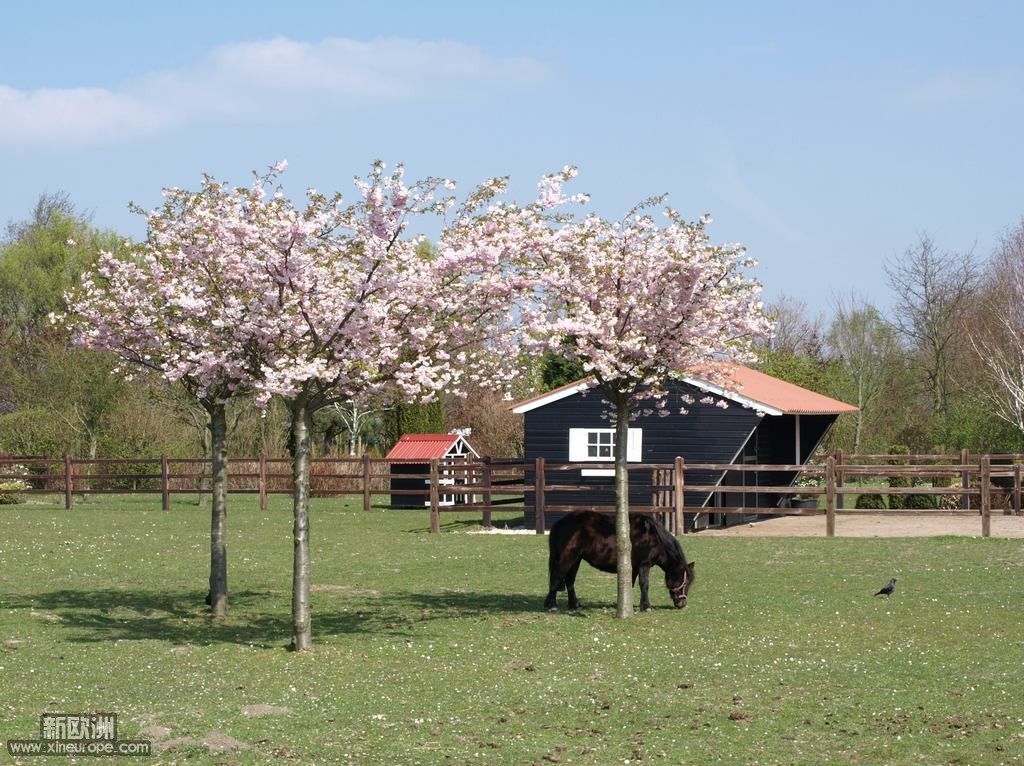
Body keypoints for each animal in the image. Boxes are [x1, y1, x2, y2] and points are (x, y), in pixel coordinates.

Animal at [544, 512, 696, 614]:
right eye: (685, 581)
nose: (682, 603)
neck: (652, 537)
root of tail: (560, 523)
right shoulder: (644, 564)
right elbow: (644, 585)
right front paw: (646, 606)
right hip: (568, 557)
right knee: (557, 577)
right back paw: (552, 605)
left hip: (576, 559)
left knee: (569, 580)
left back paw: (574, 604)